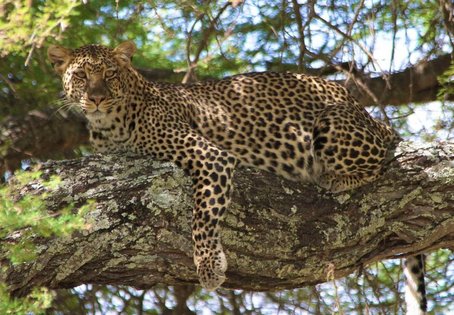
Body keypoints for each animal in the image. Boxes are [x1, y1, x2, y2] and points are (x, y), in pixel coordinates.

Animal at [48, 40, 428, 314]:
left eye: (111, 73)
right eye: (81, 76)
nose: (97, 98)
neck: (108, 126)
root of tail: (364, 109)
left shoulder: (210, 155)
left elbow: (203, 215)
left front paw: (209, 266)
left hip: (332, 121)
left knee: (379, 157)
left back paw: (334, 178)